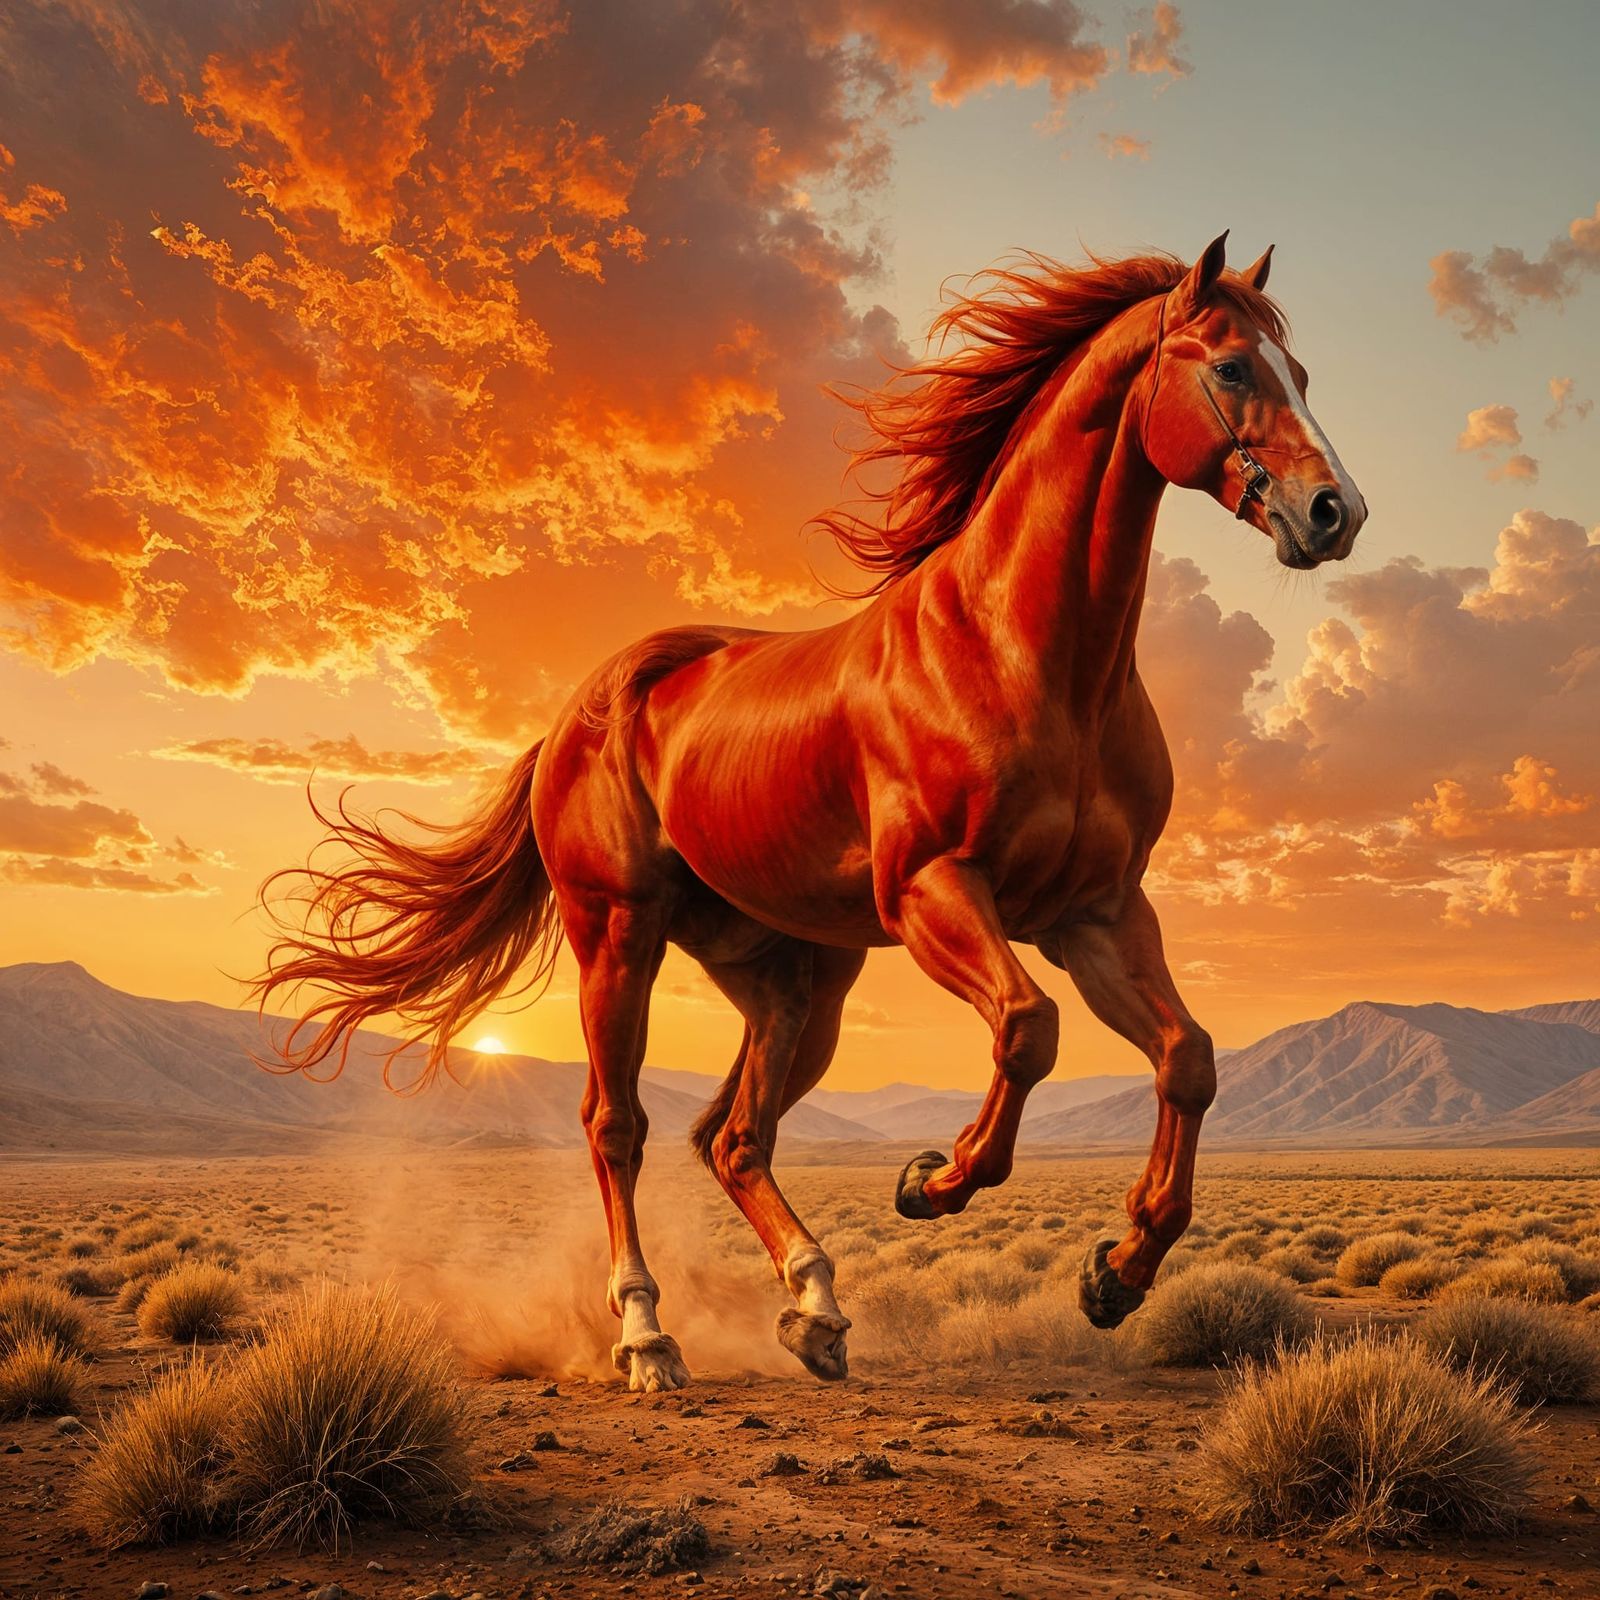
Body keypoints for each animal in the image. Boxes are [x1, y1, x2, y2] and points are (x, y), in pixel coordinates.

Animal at [255, 232, 1366, 1392]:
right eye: (1232, 368)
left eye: (1300, 372)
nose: (1334, 512)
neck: (1027, 654)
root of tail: (584, 711)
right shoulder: (934, 889)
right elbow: (1028, 1030)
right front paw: (933, 1179)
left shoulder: (1096, 913)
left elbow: (1186, 1058)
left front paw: (1119, 1269)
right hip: (619, 934)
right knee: (618, 1124)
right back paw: (647, 1336)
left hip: (794, 982)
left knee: (732, 1135)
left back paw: (817, 1309)